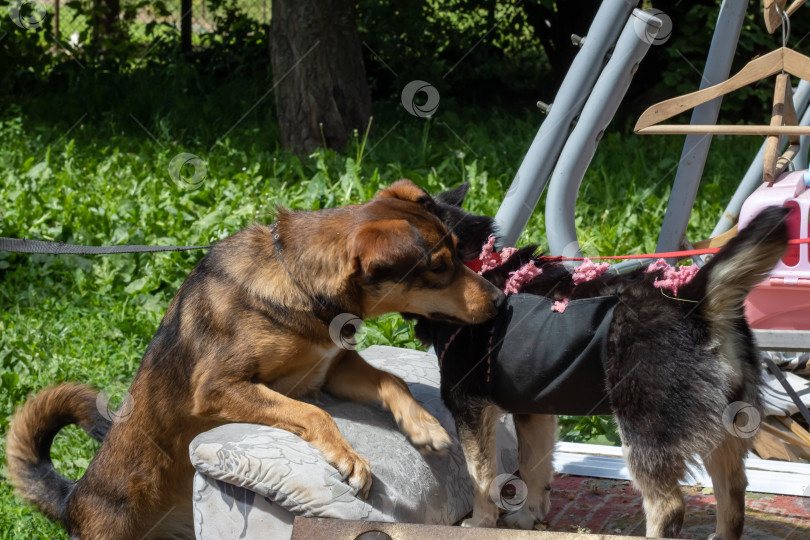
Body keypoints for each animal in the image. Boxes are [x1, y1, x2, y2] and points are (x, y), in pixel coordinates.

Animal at [6, 181, 502, 540]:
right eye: (438, 268)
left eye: (459, 253)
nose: (499, 301)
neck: (299, 281)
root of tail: (73, 500)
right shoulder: (220, 388)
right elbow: (314, 414)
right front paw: (349, 458)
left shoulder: (332, 369)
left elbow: (390, 382)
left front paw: (425, 427)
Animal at [410, 184, 784, 536]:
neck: (474, 266)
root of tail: (695, 300)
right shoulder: (533, 411)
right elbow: (533, 468)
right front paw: (529, 517)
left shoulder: (470, 410)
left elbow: (482, 478)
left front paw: (480, 521)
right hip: (723, 432)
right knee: (733, 493)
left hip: (643, 433)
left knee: (668, 507)